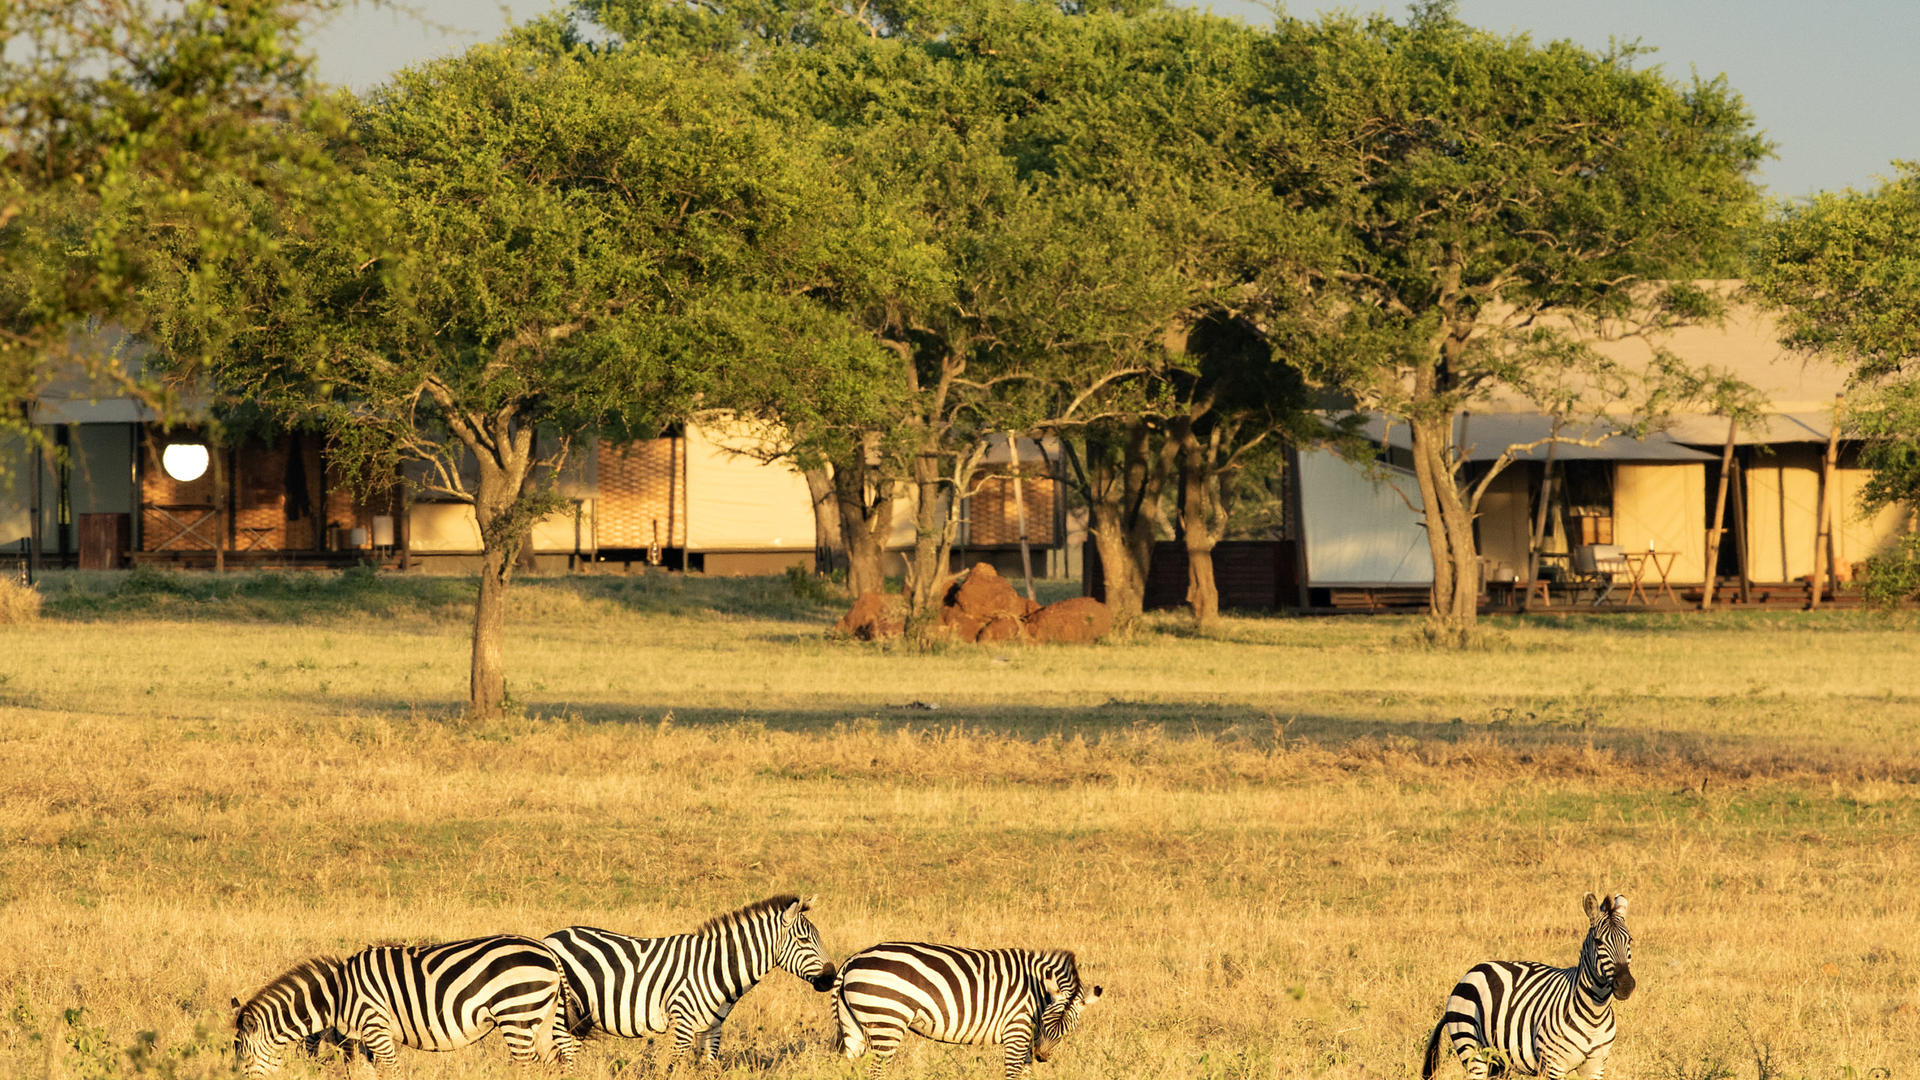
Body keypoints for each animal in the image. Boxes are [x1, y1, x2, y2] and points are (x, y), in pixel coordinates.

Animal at [231, 935, 575, 1077]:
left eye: (243, 1057)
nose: (239, 1078)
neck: (337, 995)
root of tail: (547, 951)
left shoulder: (375, 1026)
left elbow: (393, 1071)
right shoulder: (360, 1038)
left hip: (516, 1013)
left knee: (526, 1065)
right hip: (542, 1016)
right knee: (556, 1060)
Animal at [542, 894, 836, 1066]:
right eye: (803, 940)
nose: (832, 977)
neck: (716, 967)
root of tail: (553, 936)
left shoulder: (713, 1029)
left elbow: (709, 1068)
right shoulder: (682, 1024)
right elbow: (673, 1068)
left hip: (577, 1019)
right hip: (561, 1015)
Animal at [832, 942, 1103, 1080]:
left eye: (1068, 1030)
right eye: (1046, 1022)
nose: (1043, 1056)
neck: (1036, 992)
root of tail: (851, 960)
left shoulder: (1026, 1039)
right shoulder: (1016, 1030)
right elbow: (1014, 1073)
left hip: (855, 1025)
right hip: (886, 1021)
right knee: (876, 1070)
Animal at [1422, 892, 1636, 1080]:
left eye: (1630, 940)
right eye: (1598, 942)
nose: (1626, 985)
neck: (1594, 1014)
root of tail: (1474, 970)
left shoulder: (1595, 1066)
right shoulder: (1554, 1065)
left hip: (1497, 1060)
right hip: (1471, 1049)